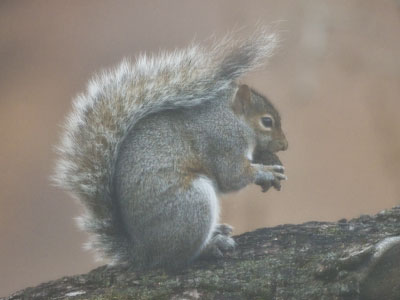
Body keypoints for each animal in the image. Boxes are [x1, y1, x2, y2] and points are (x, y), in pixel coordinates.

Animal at [53, 28, 288, 270]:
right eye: (267, 122)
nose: (285, 145)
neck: (231, 117)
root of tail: (144, 252)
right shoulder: (224, 143)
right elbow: (232, 177)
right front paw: (265, 172)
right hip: (192, 205)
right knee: (179, 258)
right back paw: (210, 246)